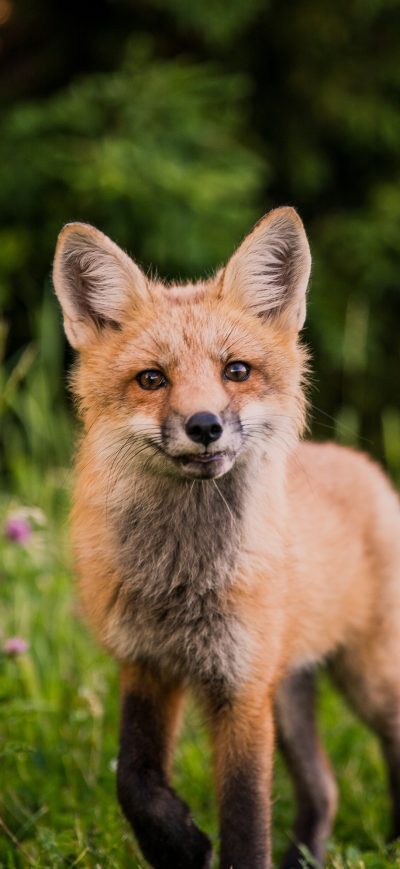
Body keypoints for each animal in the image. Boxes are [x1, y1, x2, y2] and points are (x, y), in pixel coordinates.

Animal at [53, 206, 400, 869]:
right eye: (151, 379)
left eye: (235, 371)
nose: (205, 425)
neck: (182, 581)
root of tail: (365, 466)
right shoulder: (147, 664)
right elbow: (133, 780)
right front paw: (180, 845)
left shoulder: (241, 689)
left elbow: (244, 818)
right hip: (287, 691)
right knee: (325, 788)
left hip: (366, 678)